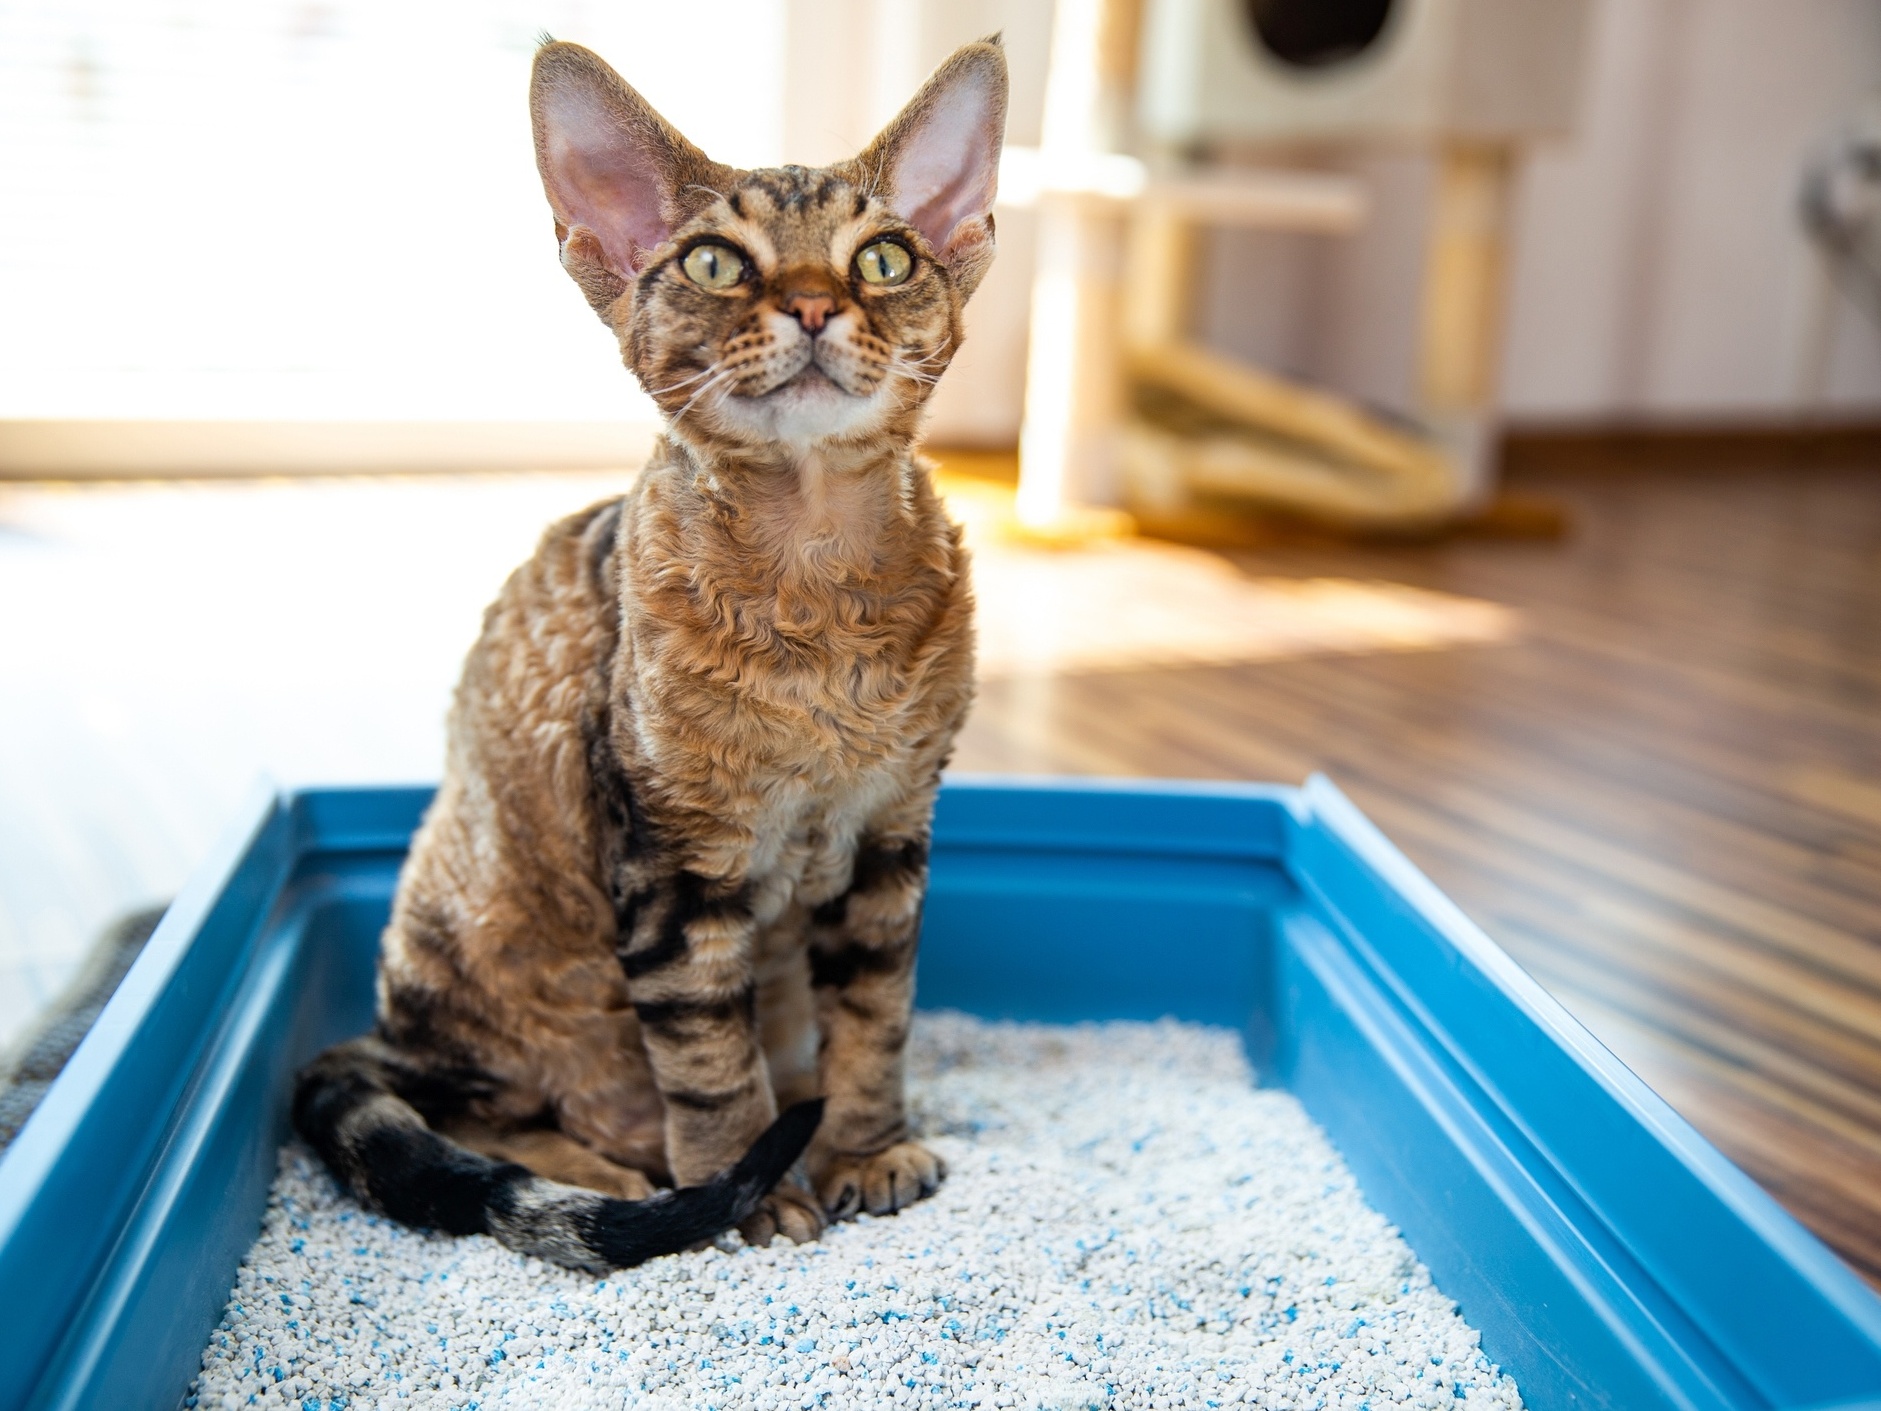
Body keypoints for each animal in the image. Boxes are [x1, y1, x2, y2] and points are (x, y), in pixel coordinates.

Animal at [287, 38, 1008, 1279]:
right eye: (716, 263)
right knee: (477, 1111)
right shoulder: (671, 860)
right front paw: (743, 1196)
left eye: (884, 257)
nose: (814, 303)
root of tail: (381, 1027)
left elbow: (877, 1017)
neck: (819, 602)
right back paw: (618, 1171)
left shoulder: (890, 834)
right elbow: (710, 1061)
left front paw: (867, 1147)